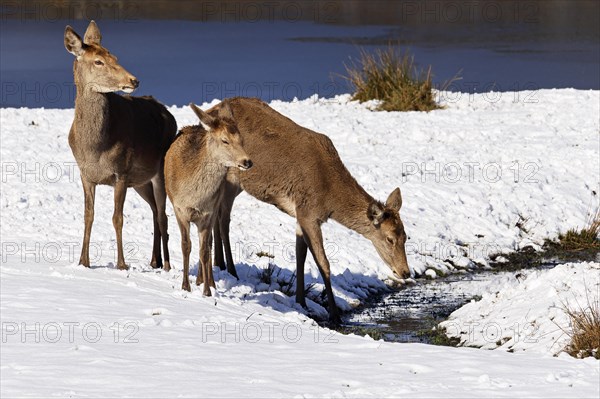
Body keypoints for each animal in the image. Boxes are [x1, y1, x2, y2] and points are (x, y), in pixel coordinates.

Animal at [64, 21, 176, 272]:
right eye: (98, 61)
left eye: (115, 56)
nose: (134, 80)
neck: (95, 147)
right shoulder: (85, 174)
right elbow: (88, 215)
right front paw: (83, 261)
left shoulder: (122, 171)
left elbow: (118, 218)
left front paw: (122, 264)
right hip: (141, 182)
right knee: (154, 211)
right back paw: (154, 261)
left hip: (160, 170)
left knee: (163, 215)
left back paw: (166, 265)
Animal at [163, 103, 252, 296]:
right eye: (225, 140)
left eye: (241, 139)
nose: (247, 161)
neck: (194, 197)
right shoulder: (179, 209)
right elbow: (185, 246)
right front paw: (185, 286)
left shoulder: (208, 213)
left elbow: (204, 249)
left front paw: (207, 291)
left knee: (209, 242)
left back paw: (207, 281)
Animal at [209, 98, 410, 324]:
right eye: (389, 239)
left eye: (406, 236)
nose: (406, 272)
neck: (330, 198)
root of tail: (211, 109)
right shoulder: (309, 213)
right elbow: (323, 262)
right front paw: (335, 315)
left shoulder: (300, 214)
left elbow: (301, 256)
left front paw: (301, 302)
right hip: (231, 176)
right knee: (223, 218)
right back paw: (230, 270)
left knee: (217, 214)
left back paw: (220, 265)